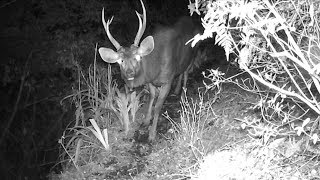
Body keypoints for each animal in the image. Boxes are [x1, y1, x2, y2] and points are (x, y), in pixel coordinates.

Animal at [99, 0, 201, 141]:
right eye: (120, 61)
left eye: (138, 57)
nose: (129, 72)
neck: (155, 69)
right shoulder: (151, 82)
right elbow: (152, 98)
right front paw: (146, 121)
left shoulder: (167, 79)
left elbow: (158, 106)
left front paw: (152, 134)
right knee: (181, 71)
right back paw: (177, 90)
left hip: (194, 52)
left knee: (186, 72)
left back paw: (183, 96)